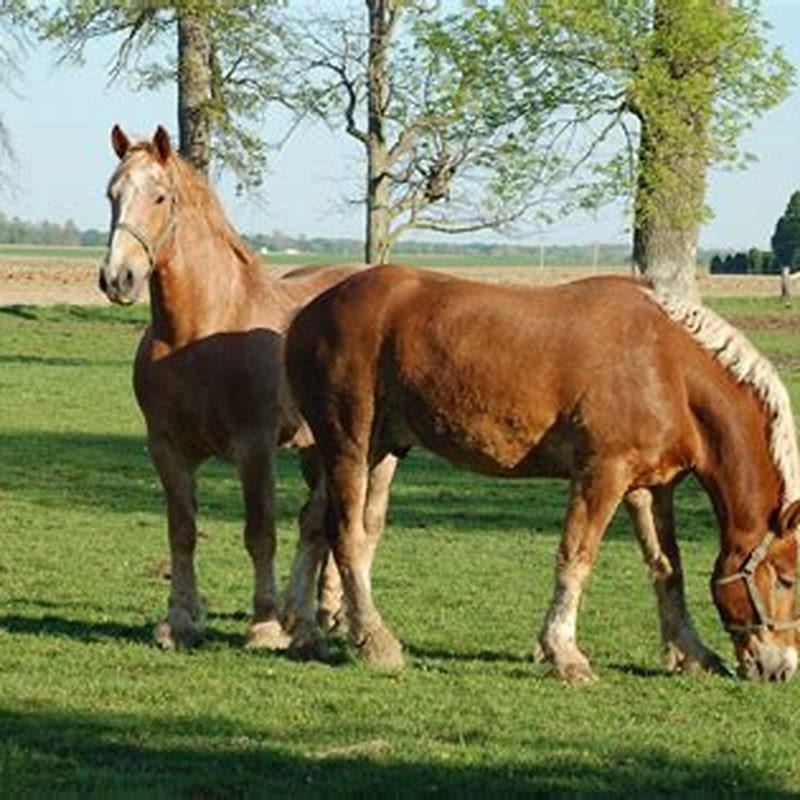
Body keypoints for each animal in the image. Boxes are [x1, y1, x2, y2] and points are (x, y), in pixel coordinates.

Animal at [98, 124, 396, 651]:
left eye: (159, 197)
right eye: (112, 194)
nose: (118, 278)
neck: (198, 330)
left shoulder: (253, 446)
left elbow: (260, 533)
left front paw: (264, 624)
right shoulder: (167, 448)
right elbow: (182, 531)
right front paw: (180, 621)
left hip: (373, 452)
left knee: (363, 521)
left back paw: (336, 618)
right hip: (316, 450)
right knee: (320, 523)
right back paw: (318, 613)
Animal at [285, 265, 800, 682]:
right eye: (787, 579)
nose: (781, 670)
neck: (666, 366)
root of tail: (309, 312)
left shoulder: (651, 488)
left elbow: (666, 567)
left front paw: (691, 652)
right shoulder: (601, 474)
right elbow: (576, 559)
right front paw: (564, 654)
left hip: (371, 450)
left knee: (314, 525)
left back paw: (302, 628)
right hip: (349, 445)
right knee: (346, 535)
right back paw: (374, 640)